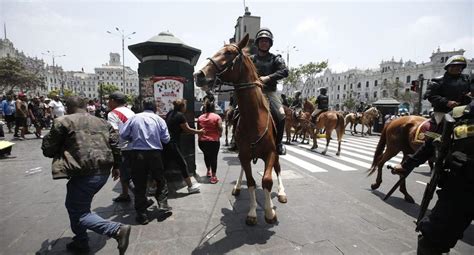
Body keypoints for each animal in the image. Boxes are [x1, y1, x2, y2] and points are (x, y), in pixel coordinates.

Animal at [194, 33, 286, 225]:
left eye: (229, 53)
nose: (198, 75)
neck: (254, 119)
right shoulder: (244, 153)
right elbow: (251, 181)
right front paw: (252, 212)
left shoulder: (271, 153)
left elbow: (267, 180)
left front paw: (269, 212)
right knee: (244, 169)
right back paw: (237, 186)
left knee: (278, 168)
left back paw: (282, 193)